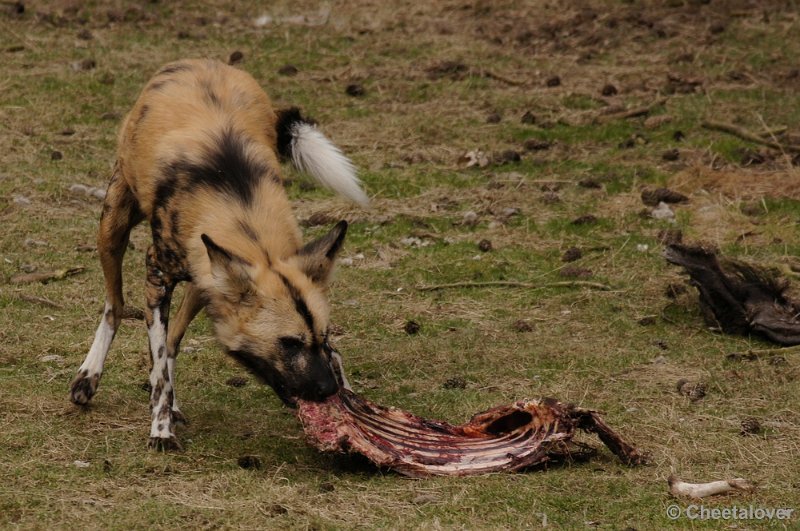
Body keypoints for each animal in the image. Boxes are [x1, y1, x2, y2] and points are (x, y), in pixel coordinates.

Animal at [70, 57, 368, 448]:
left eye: (325, 336)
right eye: (288, 343)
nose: (328, 389)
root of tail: (198, 61)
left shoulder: (207, 274)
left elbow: (165, 354)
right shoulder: (157, 275)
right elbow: (158, 361)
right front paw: (160, 430)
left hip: (205, 280)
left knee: (173, 339)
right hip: (113, 225)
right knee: (115, 306)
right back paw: (89, 376)